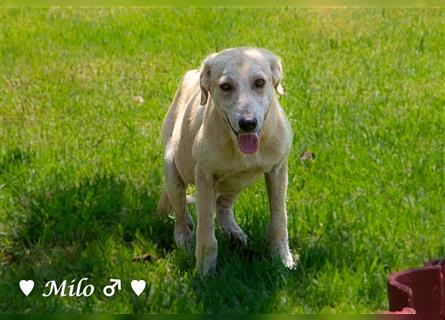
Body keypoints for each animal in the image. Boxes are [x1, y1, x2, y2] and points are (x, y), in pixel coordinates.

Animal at [158, 47, 294, 276]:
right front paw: (205, 272)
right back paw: (184, 236)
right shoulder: (204, 177)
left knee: (222, 203)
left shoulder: (277, 170)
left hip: (239, 179)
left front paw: (282, 260)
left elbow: (279, 220)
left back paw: (234, 232)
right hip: (173, 174)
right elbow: (205, 232)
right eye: (225, 86)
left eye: (260, 82)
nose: (248, 123)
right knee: (180, 210)